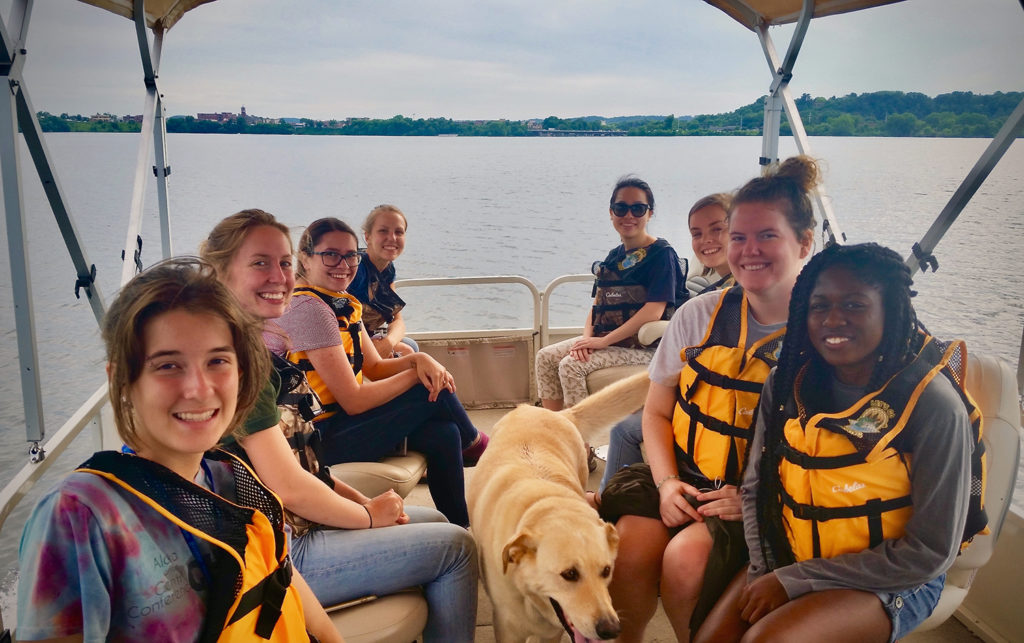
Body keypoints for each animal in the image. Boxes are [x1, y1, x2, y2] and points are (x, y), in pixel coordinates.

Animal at [466, 372, 647, 643]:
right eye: (570, 574)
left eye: (606, 570)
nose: (611, 630)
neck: (547, 505)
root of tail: (558, 413)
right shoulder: (508, 627)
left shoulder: (553, 632)